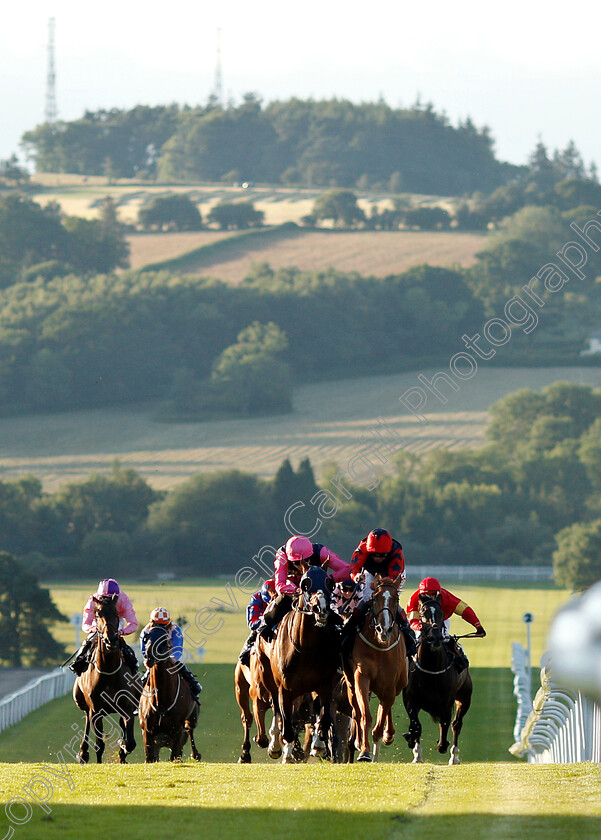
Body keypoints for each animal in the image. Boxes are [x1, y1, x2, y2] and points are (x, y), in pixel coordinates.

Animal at [72, 592, 141, 764]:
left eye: (116, 614)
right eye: (98, 614)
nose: (111, 639)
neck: (108, 671)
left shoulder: (127, 707)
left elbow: (129, 742)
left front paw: (123, 748)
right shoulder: (96, 711)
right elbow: (99, 745)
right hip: (82, 702)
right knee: (86, 721)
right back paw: (82, 753)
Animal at [138, 628, 202, 764]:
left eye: (165, 640)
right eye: (146, 638)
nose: (149, 656)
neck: (161, 701)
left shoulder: (177, 730)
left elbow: (175, 756)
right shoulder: (147, 730)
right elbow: (150, 758)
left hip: (192, 718)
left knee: (190, 730)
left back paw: (195, 754)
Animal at [270, 564, 340, 760]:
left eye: (329, 582)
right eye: (305, 582)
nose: (320, 607)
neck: (305, 648)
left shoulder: (325, 684)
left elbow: (323, 720)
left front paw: (319, 745)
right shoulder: (284, 689)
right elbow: (287, 726)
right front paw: (288, 752)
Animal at [342, 576, 408, 764]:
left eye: (396, 600)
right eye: (374, 599)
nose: (383, 629)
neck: (380, 648)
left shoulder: (390, 685)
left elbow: (381, 718)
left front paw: (382, 739)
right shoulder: (361, 677)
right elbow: (365, 715)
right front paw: (364, 751)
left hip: (399, 683)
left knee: (386, 707)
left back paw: (388, 734)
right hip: (351, 685)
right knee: (356, 709)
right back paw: (358, 741)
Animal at [404, 592, 474, 764]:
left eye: (442, 613)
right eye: (423, 613)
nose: (435, 637)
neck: (431, 669)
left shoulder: (446, 702)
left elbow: (445, 725)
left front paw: (443, 745)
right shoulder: (411, 699)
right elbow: (416, 725)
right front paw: (416, 752)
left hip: (465, 697)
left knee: (456, 724)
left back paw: (454, 756)